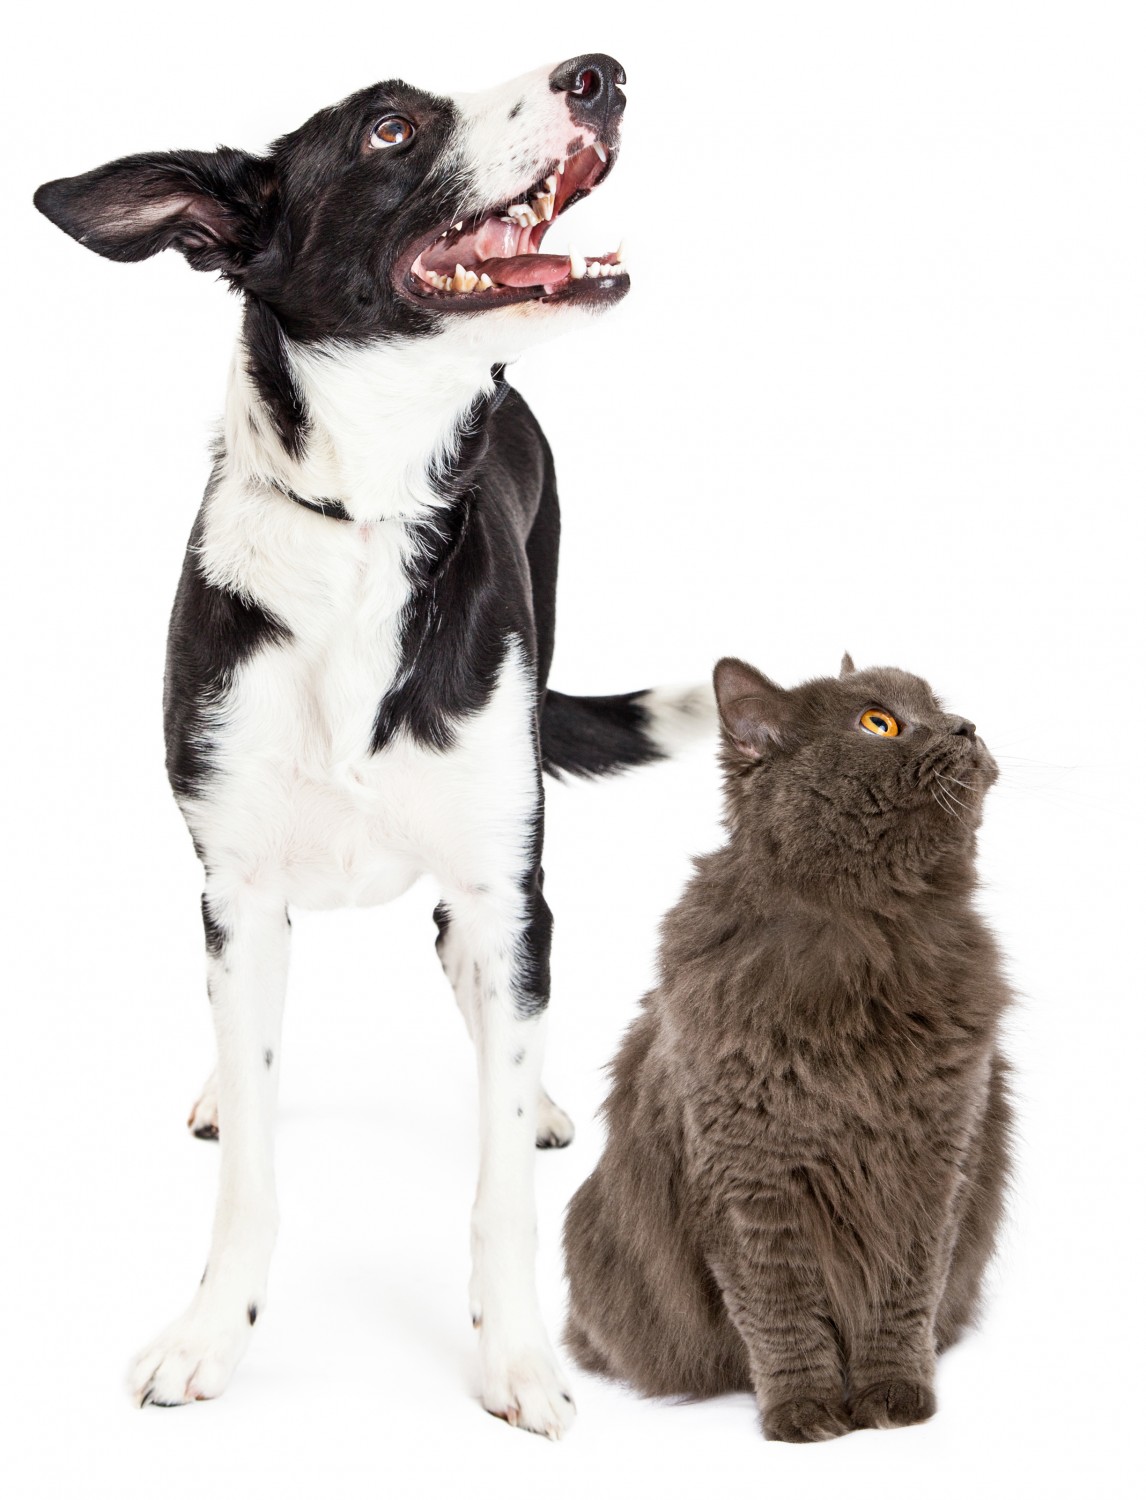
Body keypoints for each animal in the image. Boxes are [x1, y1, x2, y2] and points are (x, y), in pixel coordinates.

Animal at [35, 61, 708, 1440]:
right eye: (390, 127)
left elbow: (500, 1178)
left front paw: (516, 1356)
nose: (599, 73)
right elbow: (250, 1167)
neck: (365, 522)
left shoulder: (505, 886)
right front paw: (211, 1334)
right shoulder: (237, 893)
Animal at [564, 654, 1014, 1440]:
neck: (872, 930)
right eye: (878, 723)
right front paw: (804, 1411)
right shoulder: (750, 1178)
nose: (966, 727)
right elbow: (781, 1313)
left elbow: (903, 1299)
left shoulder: (935, 1162)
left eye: (938, 707)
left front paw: (892, 1397)